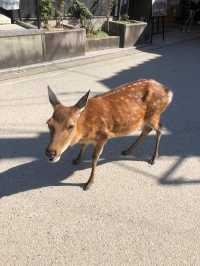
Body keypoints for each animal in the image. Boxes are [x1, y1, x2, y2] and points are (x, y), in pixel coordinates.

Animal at [45, 80, 173, 190]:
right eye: (48, 123)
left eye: (70, 126)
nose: (50, 152)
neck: (85, 129)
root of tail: (168, 92)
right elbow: (83, 146)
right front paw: (77, 160)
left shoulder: (104, 135)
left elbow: (94, 158)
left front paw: (89, 183)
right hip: (146, 118)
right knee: (147, 129)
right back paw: (128, 150)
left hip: (154, 114)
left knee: (160, 129)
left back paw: (153, 158)